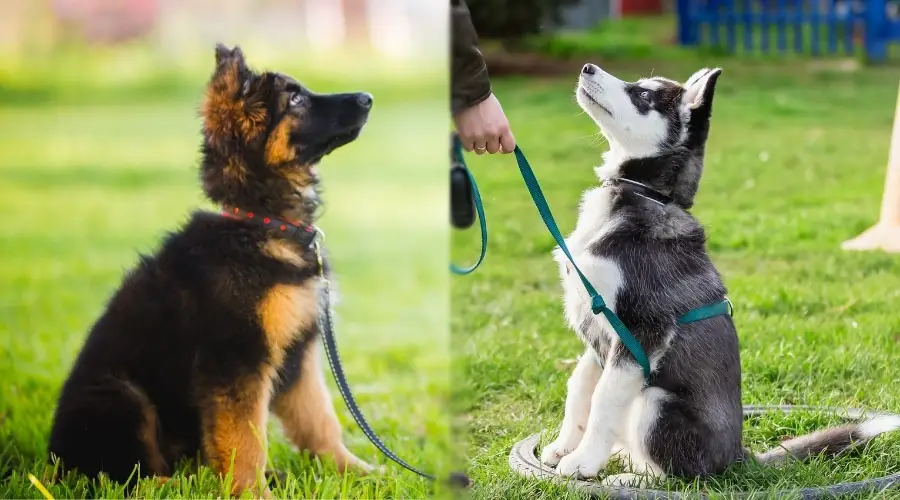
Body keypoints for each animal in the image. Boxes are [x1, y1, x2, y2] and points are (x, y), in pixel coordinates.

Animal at [46, 44, 376, 496]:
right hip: (120, 395)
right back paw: (175, 486)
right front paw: (253, 493)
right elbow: (245, 440)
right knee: (127, 476)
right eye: (294, 99)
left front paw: (353, 470)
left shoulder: (301, 351)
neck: (261, 222)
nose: (367, 98)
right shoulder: (236, 359)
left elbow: (320, 419)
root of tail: (53, 463)